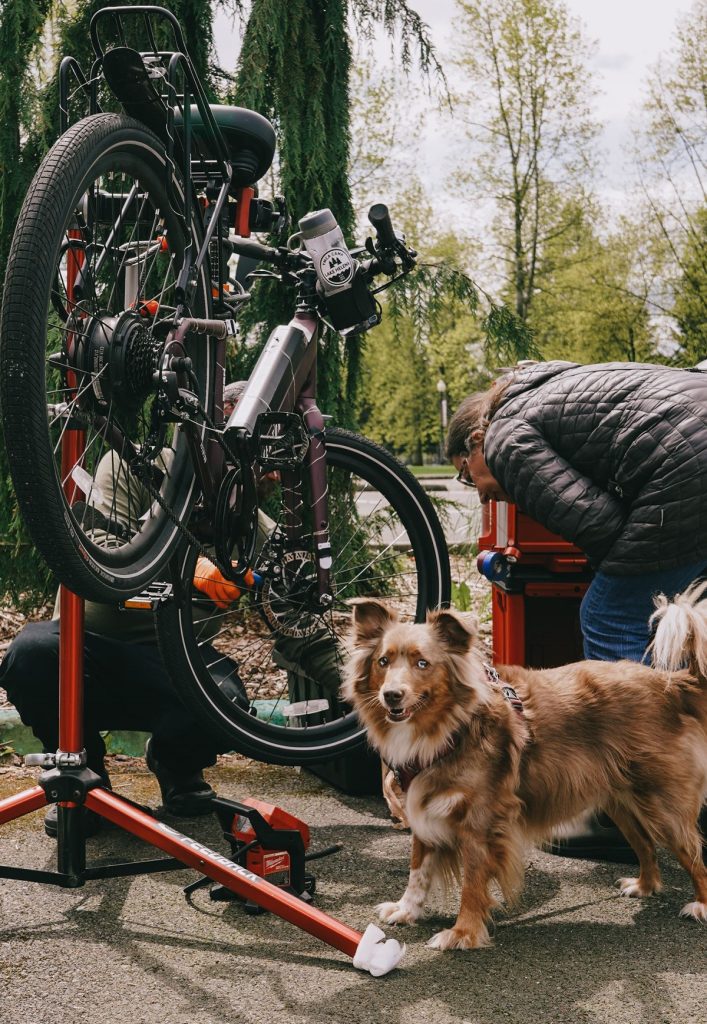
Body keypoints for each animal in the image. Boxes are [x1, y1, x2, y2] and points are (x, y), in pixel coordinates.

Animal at [340, 593, 704, 950]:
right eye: (383, 662)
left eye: (422, 664)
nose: (391, 695)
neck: (451, 728)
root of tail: (671, 684)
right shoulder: (425, 810)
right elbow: (418, 870)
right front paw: (406, 909)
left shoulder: (480, 826)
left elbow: (472, 885)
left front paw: (462, 933)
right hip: (621, 803)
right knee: (645, 844)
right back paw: (644, 885)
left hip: (664, 809)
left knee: (694, 858)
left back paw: (700, 905)